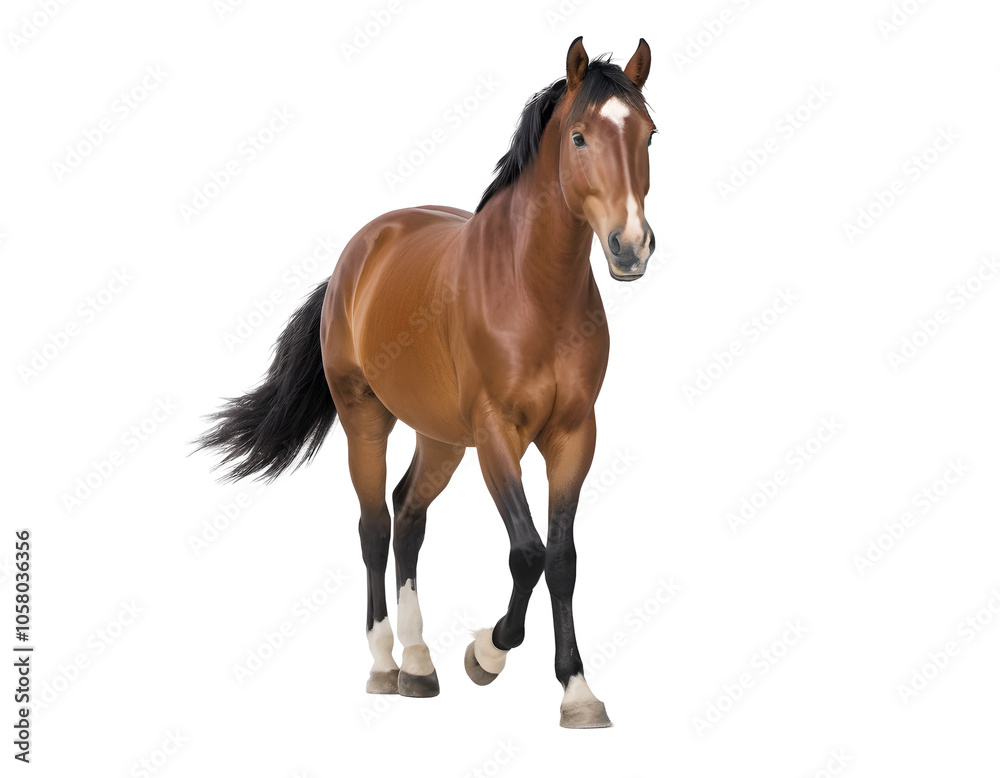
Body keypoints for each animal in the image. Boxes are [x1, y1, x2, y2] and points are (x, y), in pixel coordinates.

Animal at [197, 36, 656, 728]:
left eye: (649, 135)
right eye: (579, 137)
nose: (630, 246)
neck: (533, 292)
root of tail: (358, 254)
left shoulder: (575, 436)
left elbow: (563, 559)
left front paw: (578, 692)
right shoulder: (496, 434)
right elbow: (527, 551)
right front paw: (486, 653)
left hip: (441, 439)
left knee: (408, 513)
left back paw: (418, 662)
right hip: (367, 421)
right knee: (374, 526)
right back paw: (387, 663)